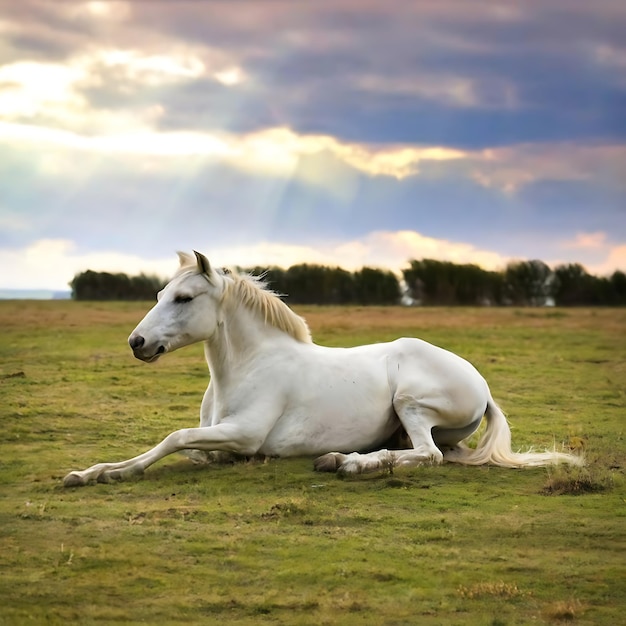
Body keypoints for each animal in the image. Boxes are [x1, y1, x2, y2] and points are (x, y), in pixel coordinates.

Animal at [63, 251, 580, 486]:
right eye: (159, 295)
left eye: (184, 299)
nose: (137, 343)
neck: (250, 367)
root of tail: (483, 387)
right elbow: (189, 449)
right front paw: (93, 471)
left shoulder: (245, 434)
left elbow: (176, 438)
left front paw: (110, 473)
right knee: (433, 453)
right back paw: (346, 458)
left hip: (410, 402)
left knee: (428, 455)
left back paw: (346, 462)